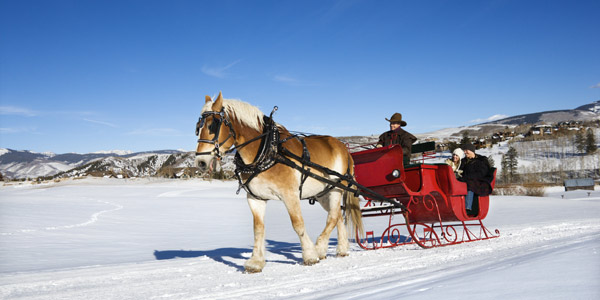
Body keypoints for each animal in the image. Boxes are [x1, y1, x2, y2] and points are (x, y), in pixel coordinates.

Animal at [197, 92, 364, 274]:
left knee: (332, 217)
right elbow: (258, 229)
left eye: (212, 126)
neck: (267, 150)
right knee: (338, 216)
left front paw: (310, 255)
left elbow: (298, 224)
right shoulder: (255, 198)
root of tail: (344, 148)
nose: (201, 162)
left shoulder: (290, 194)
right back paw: (341, 249)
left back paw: (320, 248)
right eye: (198, 127)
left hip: (335, 189)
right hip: (323, 193)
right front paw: (256, 262)